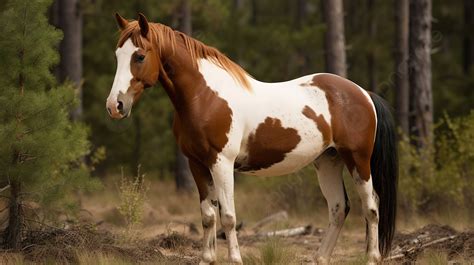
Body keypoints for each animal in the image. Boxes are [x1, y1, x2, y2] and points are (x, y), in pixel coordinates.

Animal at [106, 12, 396, 264]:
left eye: (139, 56)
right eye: (117, 55)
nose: (115, 106)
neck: (205, 97)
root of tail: (364, 93)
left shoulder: (221, 163)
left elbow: (228, 216)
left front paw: (235, 260)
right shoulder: (196, 164)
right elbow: (208, 216)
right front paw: (207, 259)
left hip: (358, 160)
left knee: (371, 208)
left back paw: (371, 258)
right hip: (328, 161)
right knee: (338, 208)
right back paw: (320, 258)